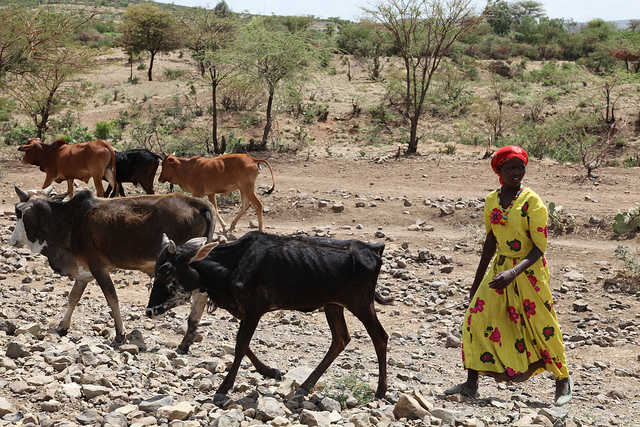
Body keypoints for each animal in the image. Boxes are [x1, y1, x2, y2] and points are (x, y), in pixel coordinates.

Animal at [10, 187, 215, 348]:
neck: (70, 220)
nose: (12, 240)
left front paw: (120, 335)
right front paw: (62, 326)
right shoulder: (83, 271)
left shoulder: (97, 267)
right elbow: (73, 298)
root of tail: (197, 203)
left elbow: (112, 299)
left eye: (18, 212)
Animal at [147, 231, 392, 402]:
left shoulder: (255, 309)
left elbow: (241, 344)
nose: (149, 311)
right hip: (333, 305)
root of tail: (373, 249)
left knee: (380, 337)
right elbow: (245, 345)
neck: (233, 264)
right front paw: (271, 372)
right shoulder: (245, 311)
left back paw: (381, 391)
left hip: (361, 304)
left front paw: (223, 389)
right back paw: (304, 386)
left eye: (165, 271)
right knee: (340, 340)